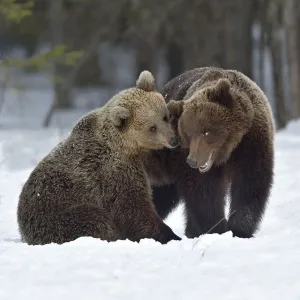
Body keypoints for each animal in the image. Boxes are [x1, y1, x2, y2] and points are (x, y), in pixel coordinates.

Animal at [17, 71, 180, 246]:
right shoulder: (111, 172)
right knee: (95, 220)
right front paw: (169, 234)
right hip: (57, 215)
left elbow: (160, 173)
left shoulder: (141, 158)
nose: (173, 140)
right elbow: (132, 207)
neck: (126, 146)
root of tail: (23, 230)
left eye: (164, 117)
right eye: (152, 128)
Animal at [144, 67, 276, 239]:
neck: (228, 151)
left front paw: (239, 229)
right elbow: (203, 192)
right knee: (160, 192)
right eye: (188, 133)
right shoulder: (184, 158)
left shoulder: (252, 143)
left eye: (206, 132)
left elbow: (250, 182)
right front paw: (217, 227)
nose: (192, 161)